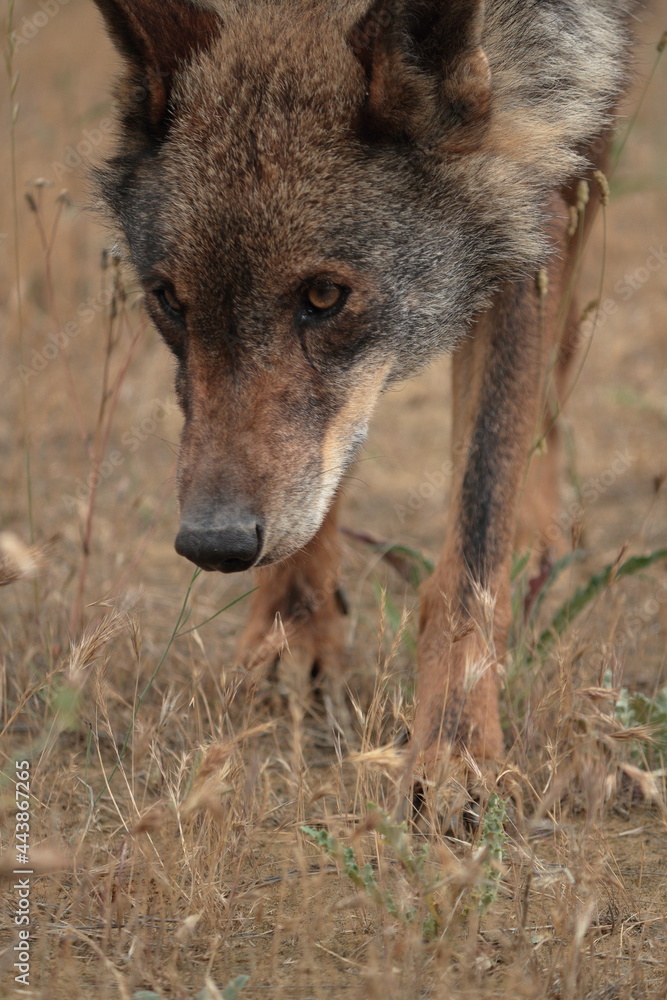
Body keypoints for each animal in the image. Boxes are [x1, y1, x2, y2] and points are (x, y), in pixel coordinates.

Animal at [91, 0, 636, 773]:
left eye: (323, 296)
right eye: (170, 299)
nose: (212, 544)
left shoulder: (530, 191)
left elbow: (477, 519)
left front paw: (455, 750)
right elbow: (323, 481)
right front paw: (291, 640)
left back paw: (537, 548)